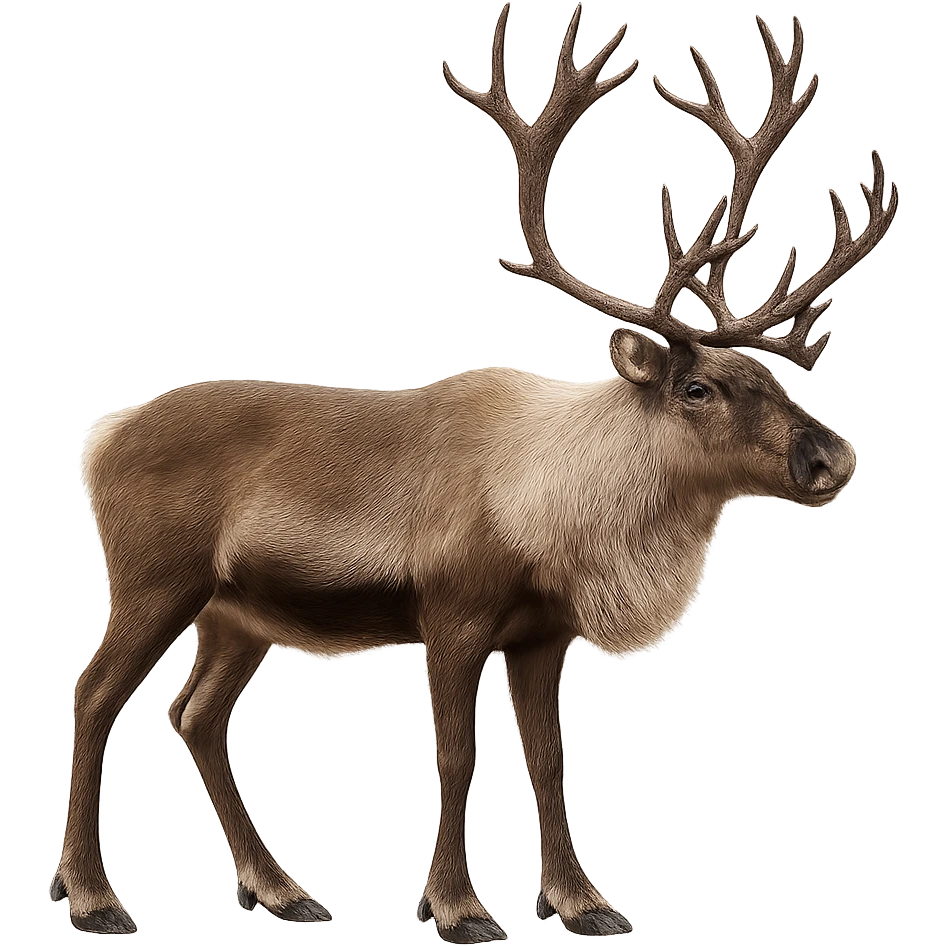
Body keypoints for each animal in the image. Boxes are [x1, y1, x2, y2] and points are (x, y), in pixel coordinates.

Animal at [54, 3, 897, 941]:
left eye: (773, 377)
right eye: (698, 387)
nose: (831, 456)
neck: (558, 514)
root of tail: (100, 439)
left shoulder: (541, 633)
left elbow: (550, 763)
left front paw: (583, 903)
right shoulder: (451, 613)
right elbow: (457, 758)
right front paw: (458, 906)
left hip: (237, 613)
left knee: (195, 715)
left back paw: (282, 890)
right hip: (155, 579)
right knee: (93, 699)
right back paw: (93, 897)